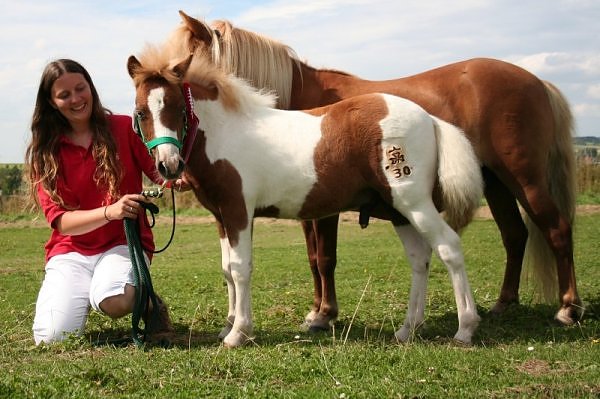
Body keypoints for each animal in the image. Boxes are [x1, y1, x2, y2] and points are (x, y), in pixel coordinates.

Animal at [127, 52, 482, 346]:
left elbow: (241, 269)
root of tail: (431, 119)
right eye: (141, 112)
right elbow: (227, 269)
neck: (224, 132)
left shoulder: (239, 211)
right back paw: (408, 329)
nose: (168, 165)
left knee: (449, 247)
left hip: (414, 203)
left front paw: (239, 333)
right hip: (398, 210)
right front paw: (228, 326)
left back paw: (465, 329)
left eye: (178, 109)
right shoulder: (221, 217)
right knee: (420, 258)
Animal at [158, 11, 580, 332]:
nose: (176, 171)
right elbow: (312, 258)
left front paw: (323, 315)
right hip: (496, 183)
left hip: (525, 178)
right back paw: (503, 304)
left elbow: (324, 258)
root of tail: (537, 80)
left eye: (180, 72)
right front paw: (316, 311)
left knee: (556, 229)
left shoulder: (322, 208)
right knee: (515, 235)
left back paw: (567, 307)